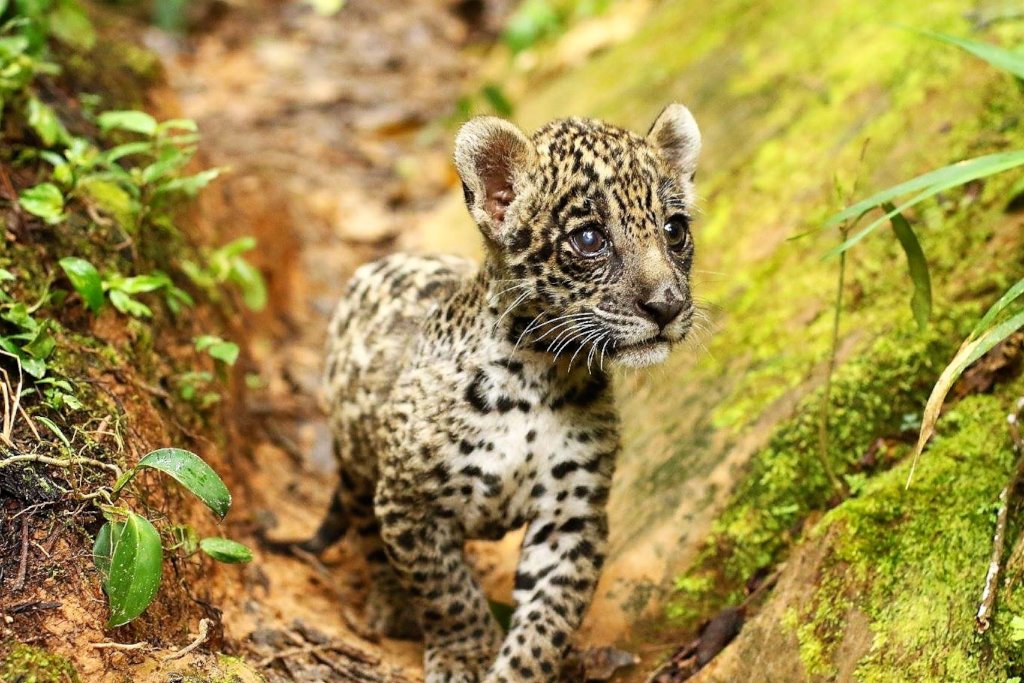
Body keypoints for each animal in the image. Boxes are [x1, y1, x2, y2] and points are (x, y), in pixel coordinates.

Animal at [297, 104, 702, 682]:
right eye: (589, 239)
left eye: (675, 229)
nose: (667, 305)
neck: (538, 374)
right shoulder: (409, 503)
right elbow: (447, 591)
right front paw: (464, 653)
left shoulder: (570, 519)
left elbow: (547, 620)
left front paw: (516, 670)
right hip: (358, 460)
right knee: (368, 529)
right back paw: (390, 604)